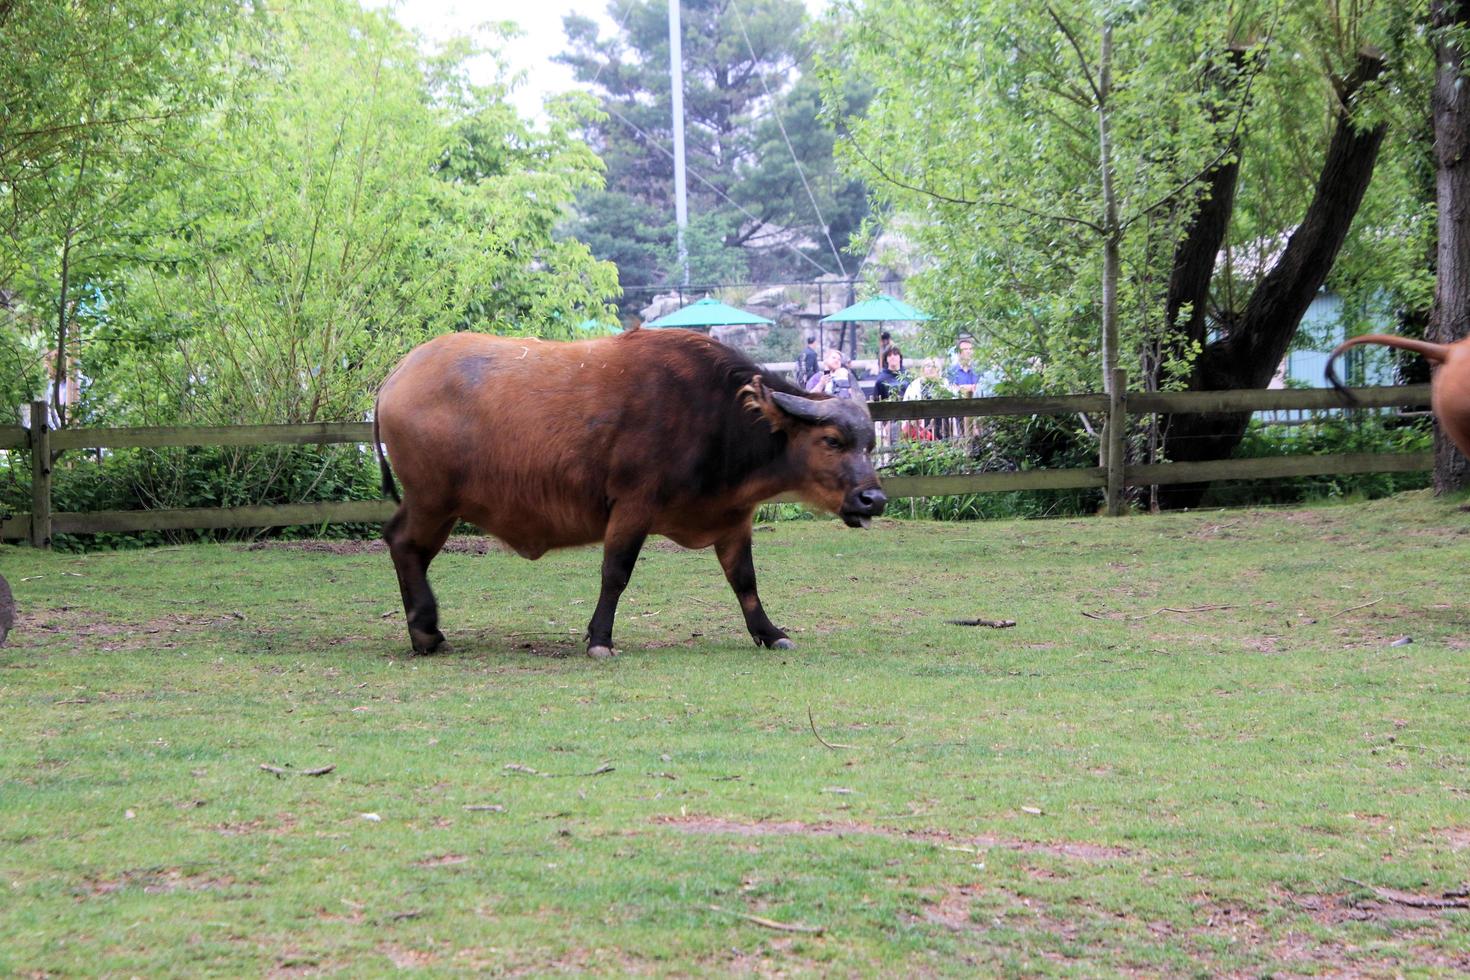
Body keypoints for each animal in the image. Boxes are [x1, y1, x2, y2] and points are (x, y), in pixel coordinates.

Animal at [373, 329, 887, 658]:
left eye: (869, 444)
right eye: (832, 441)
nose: (874, 500)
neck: (717, 417)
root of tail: (398, 376)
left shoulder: (733, 518)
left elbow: (745, 581)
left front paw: (770, 632)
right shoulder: (632, 509)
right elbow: (615, 574)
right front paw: (600, 639)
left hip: (438, 506)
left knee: (407, 548)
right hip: (432, 500)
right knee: (402, 543)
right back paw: (425, 632)